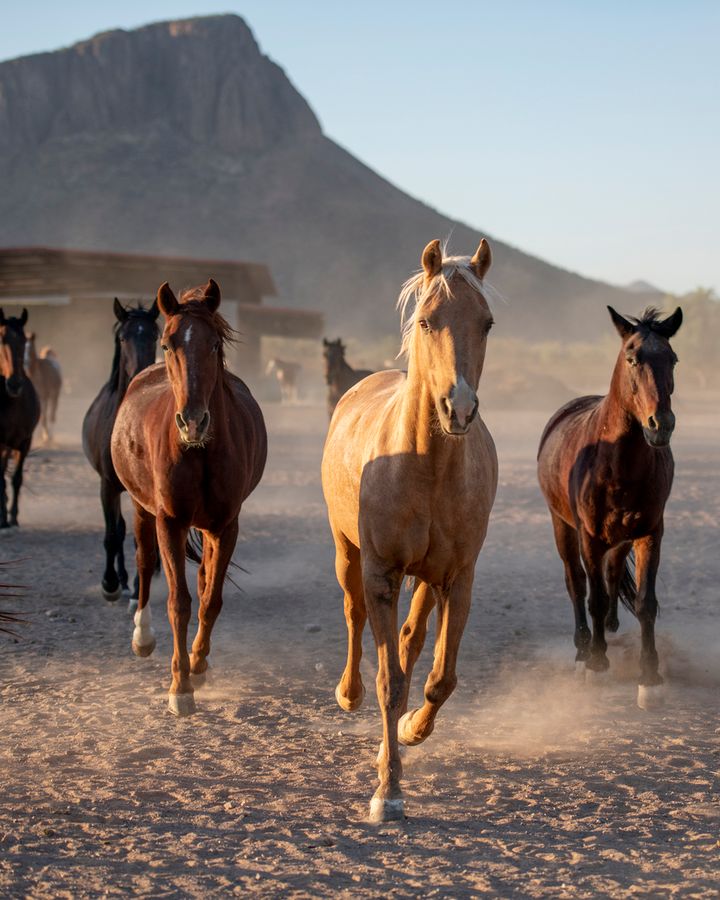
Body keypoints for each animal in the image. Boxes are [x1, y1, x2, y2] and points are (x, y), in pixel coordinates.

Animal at [82, 300, 160, 604]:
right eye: (123, 338)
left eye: (154, 335)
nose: (142, 374)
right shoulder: (107, 485)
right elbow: (112, 535)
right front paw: (111, 584)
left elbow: (143, 540)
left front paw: (140, 589)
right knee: (119, 528)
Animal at [111, 280, 268, 716]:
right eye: (167, 344)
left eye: (213, 344)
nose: (193, 421)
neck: (199, 452)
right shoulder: (170, 521)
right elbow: (178, 603)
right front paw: (179, 688)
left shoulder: (225, 525)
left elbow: (210, 598)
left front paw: (197, 664)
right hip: (142, 509)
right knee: (144, 561)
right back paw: (142, 636)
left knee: (203, 581)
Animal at [324, 239, 498, 824]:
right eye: (426, 320)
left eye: (486, 323)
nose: (459, 408)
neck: (426, 464)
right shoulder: (382, 573)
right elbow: (389, 681)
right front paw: (388, 791)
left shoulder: (458, 579)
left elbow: (438, 678)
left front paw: (411, 733)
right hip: (347, 554)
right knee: (355, 617)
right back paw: (348, 693)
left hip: (426, 577)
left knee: (411, 640)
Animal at [536, 308, 684, 712]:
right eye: (633, 358)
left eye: (672, 359)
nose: (661, 424)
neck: (616, 462)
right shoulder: (589, 536)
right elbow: (595, 597)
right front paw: (597, 664)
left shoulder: (649, 533)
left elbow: (645, 602)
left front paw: (650, 678)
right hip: (563, 527)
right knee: (576, 583)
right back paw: (582, 650)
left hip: (620, 539)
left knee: (614, 573)